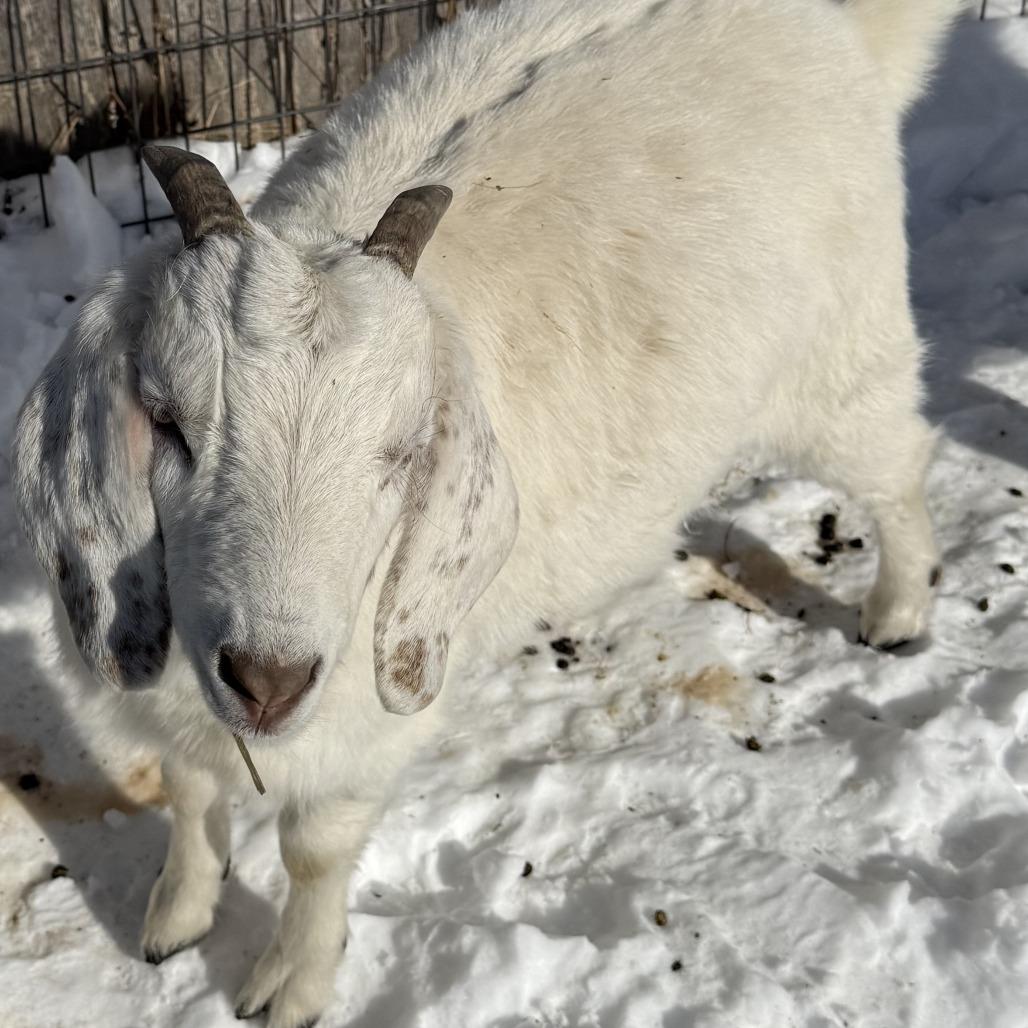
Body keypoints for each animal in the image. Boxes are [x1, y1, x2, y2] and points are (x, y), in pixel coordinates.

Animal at [12, 0, 963, 1024]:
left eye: (402, 453)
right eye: (168, 421)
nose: (269, 680)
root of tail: (834, 29)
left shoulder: (366, 727)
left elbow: (313, 853)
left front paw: (291, 982)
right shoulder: (174, 699)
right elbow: (188, 793)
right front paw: (177, 917)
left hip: (839, 362)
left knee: (899, 462)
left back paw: (899, 611)